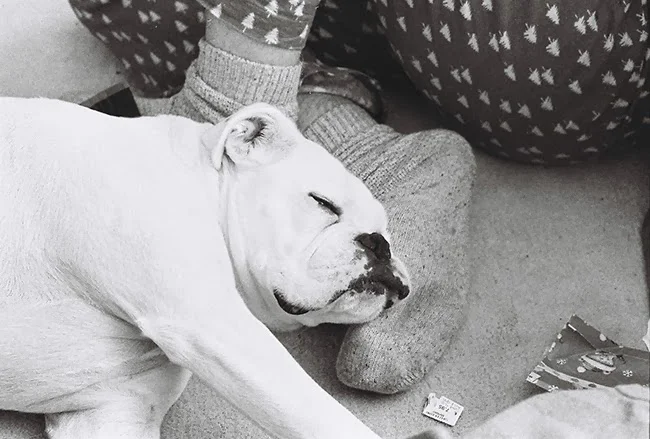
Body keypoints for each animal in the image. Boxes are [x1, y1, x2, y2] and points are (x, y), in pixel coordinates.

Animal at [0, 98, 411, 439]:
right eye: (322, 203)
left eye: (388, 231)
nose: (380, 244)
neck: (201, 182)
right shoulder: (214, 328)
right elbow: (325, 418)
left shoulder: (112, 411)